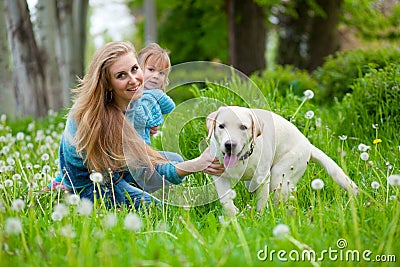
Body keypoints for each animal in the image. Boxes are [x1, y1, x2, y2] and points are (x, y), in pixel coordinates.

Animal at [206, 105, 360, 217]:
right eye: (221, 126)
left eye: (243, 127)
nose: (229, 144)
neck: (242, 157)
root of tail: (308, 145)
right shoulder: (220, 177)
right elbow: (226, 201)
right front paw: (232, 219)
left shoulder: (263, 178)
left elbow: (261, 203)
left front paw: (259, 219)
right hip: (254, 182)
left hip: (280, 175)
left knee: (278, 199)